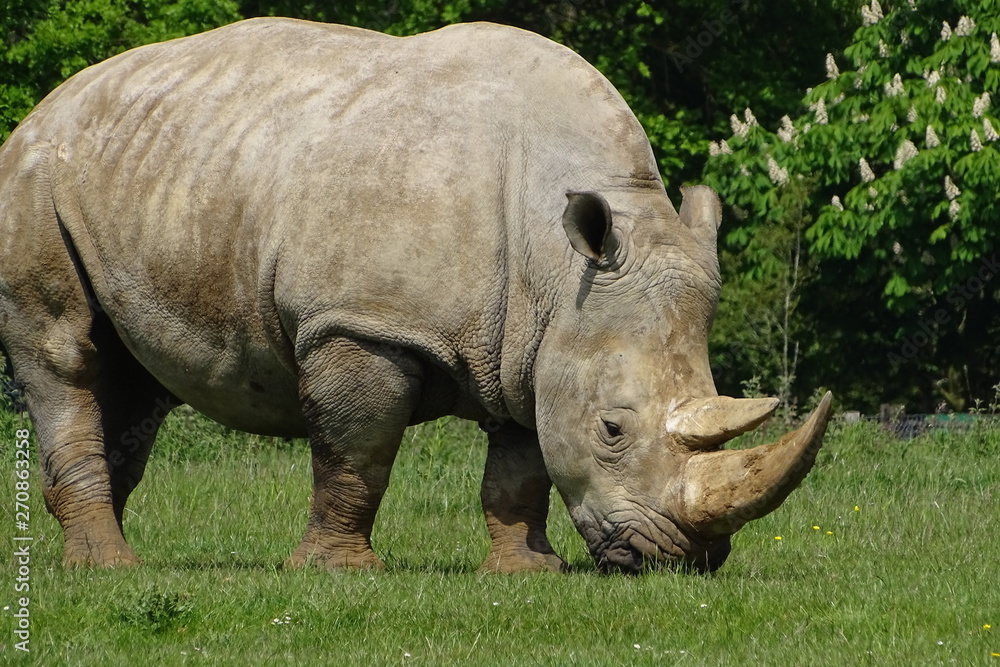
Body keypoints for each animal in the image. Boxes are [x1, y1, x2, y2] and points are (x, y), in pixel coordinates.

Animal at [0, 18, 831, 574]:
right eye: (613, 429)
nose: (684, 557)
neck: (560, 261)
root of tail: (44, 106)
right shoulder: (361, 323)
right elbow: (356, 451)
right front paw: (336, 573)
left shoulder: (532, 336)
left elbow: (521, 461)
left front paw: (527, 572)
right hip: (33, 181)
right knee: (65, 355)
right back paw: (111, 568)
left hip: (157, 172)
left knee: (135, 381)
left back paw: (92, 558)